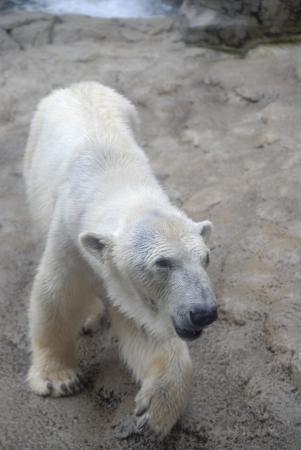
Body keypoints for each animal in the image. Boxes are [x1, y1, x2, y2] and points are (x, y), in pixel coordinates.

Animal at [22, 81, 216, 436]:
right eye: (162, 263)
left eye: (205, 257)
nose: (203, 313)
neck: (115, 177)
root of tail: (77, 85)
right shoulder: (70, 233)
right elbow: (56, 294)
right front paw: (58, 379)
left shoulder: (137, 293)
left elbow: (143, 328)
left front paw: (153, 411)